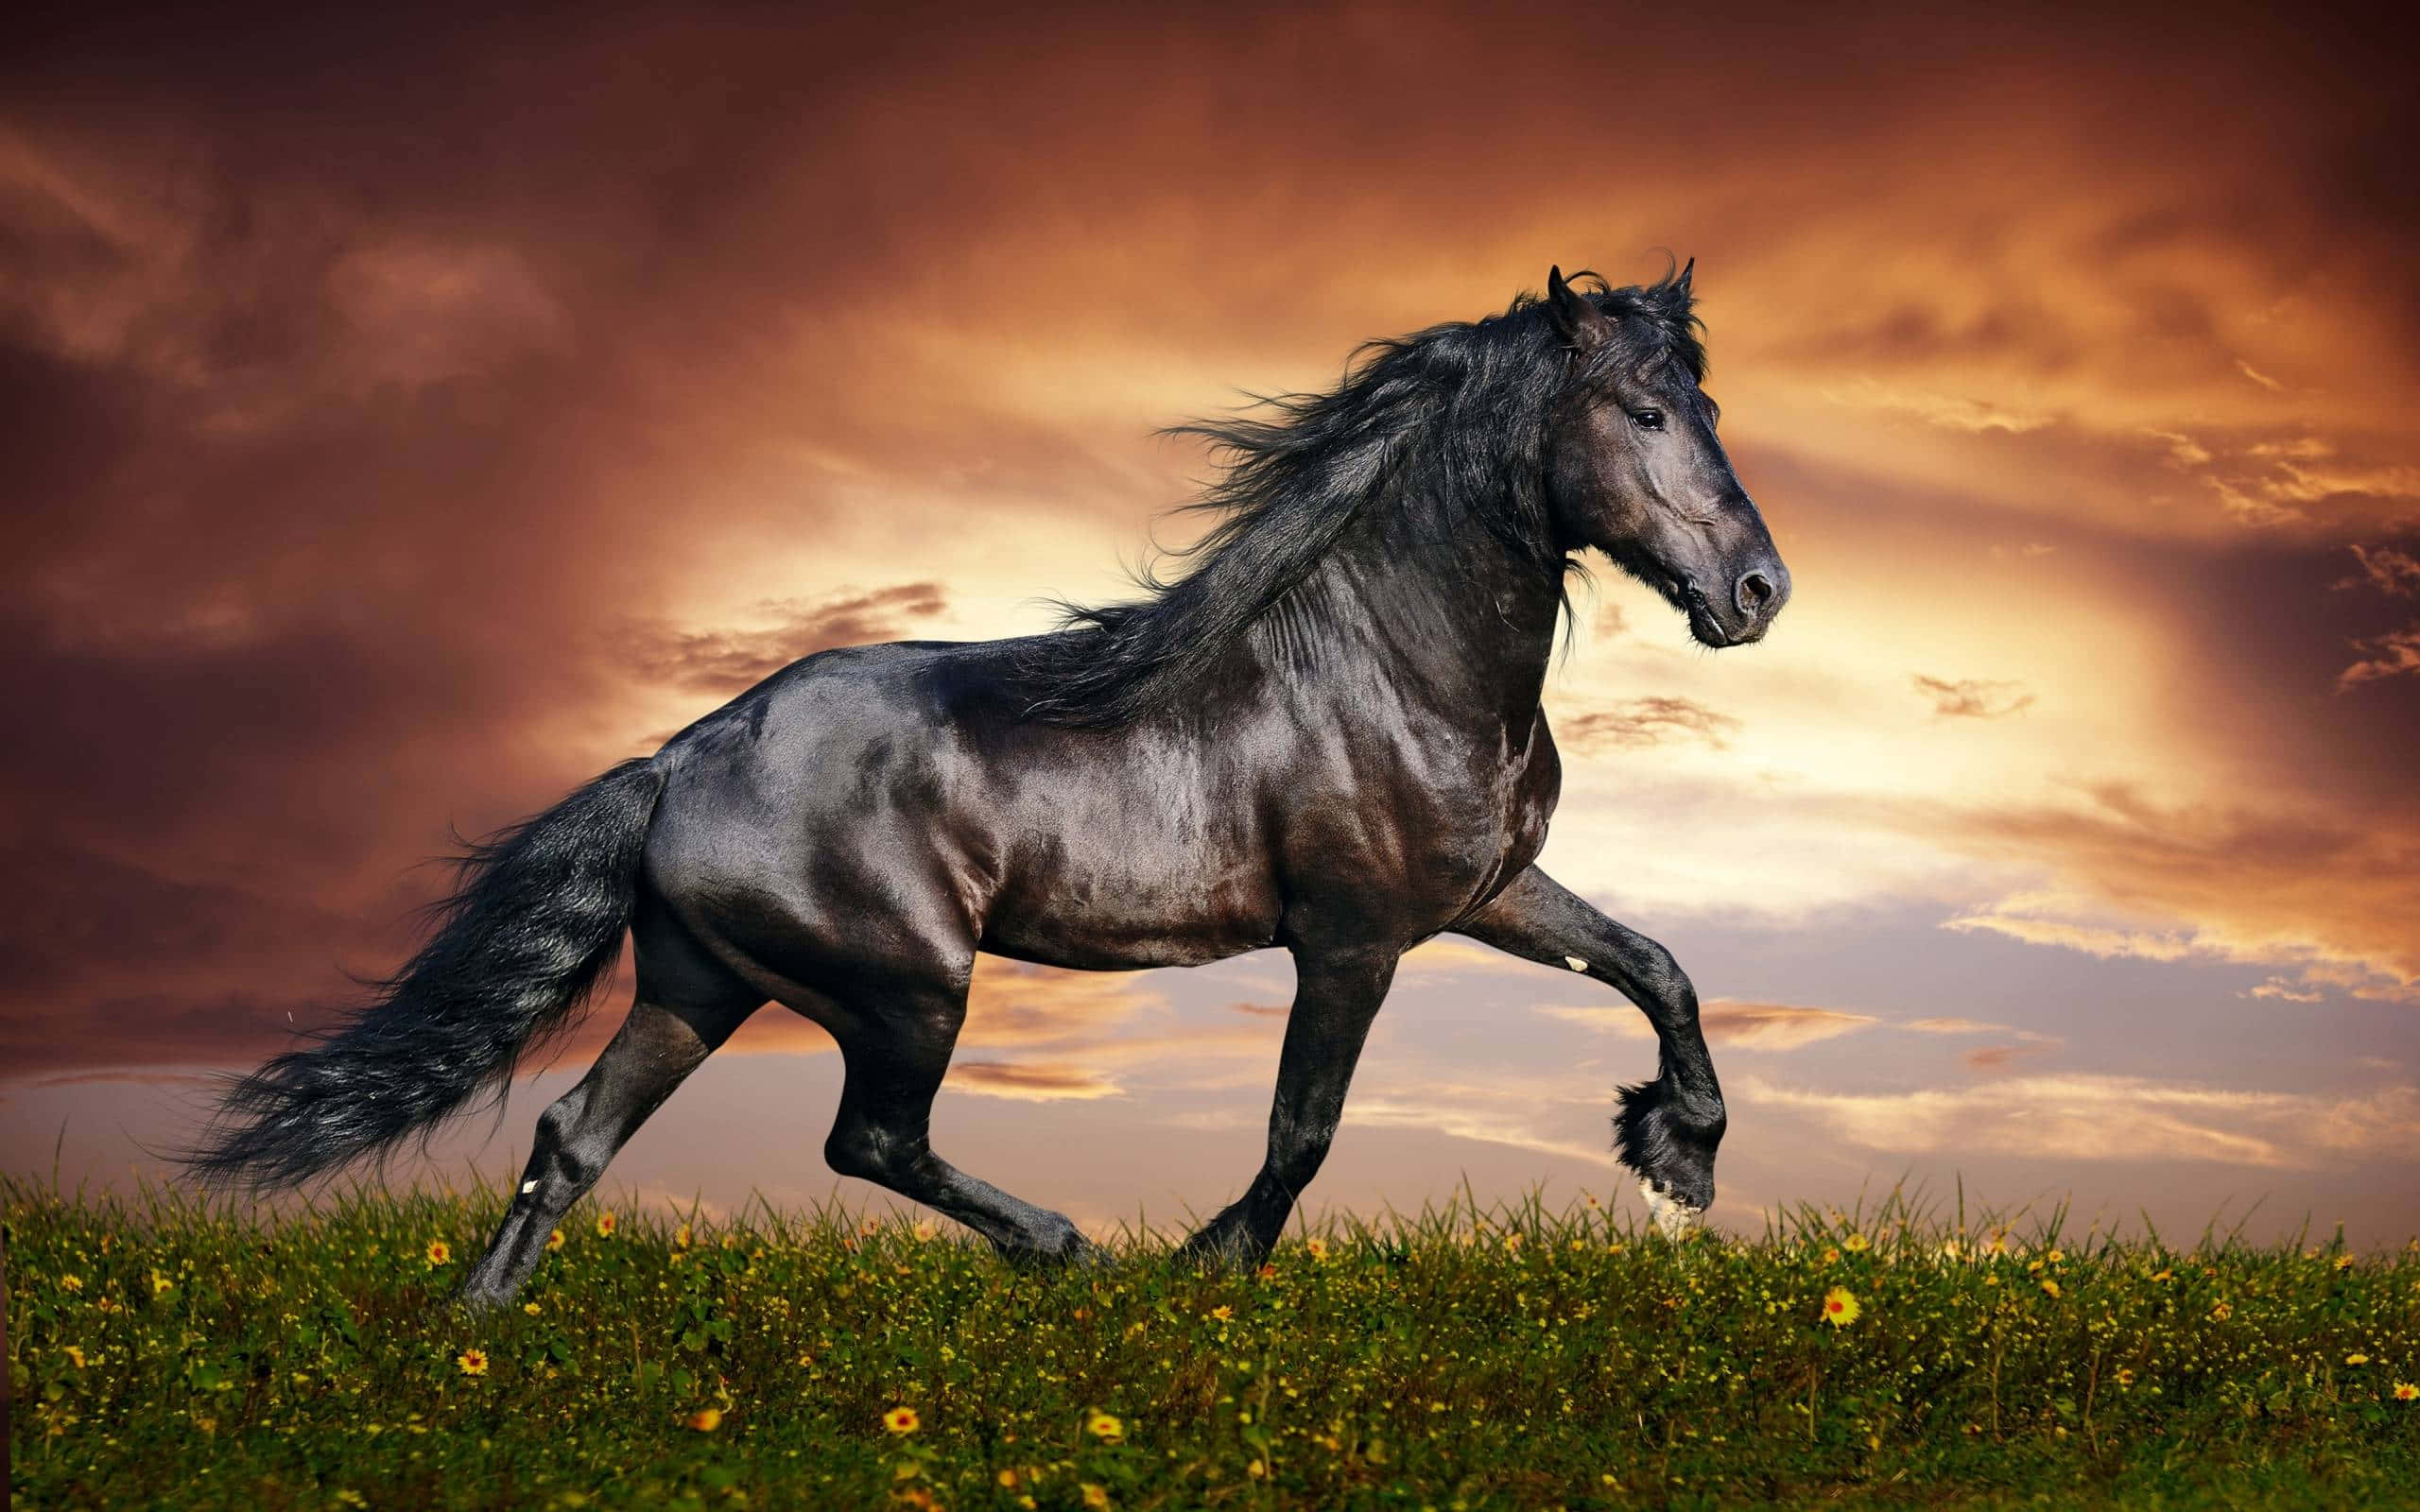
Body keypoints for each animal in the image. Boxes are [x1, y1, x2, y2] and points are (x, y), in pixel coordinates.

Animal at [184, 263, 1789, 1305]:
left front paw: (1679, 1161)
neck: (1390, 661)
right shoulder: (1353, 938)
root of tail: (677, 760)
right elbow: (1304, 1128)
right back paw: (1065, 1249)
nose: (1758, 592)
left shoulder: (1487, 893)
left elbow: (1658, 966)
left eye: (1707, 406)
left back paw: (477, 1344)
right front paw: (1205, 1271)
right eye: (1643, 414)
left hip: (702, 983)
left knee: (572, 1141)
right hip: (907, 985)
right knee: (868, 1139)